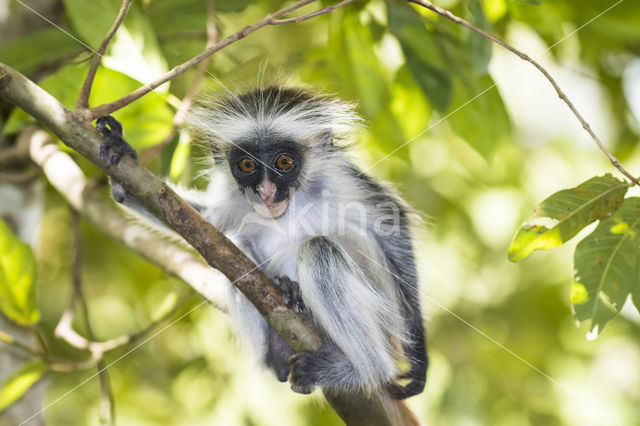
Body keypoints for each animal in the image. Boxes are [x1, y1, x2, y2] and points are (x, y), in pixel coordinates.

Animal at [97, 85, 428, 400]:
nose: (266, 191)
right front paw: (122, 160)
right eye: (247, 165)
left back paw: (366, 370)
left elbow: (391, 221)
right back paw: (281, 329)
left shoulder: (341, 178)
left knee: (320, 249)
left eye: (284, 161)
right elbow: (201, 221)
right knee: (235, 240)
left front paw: (419, 360)